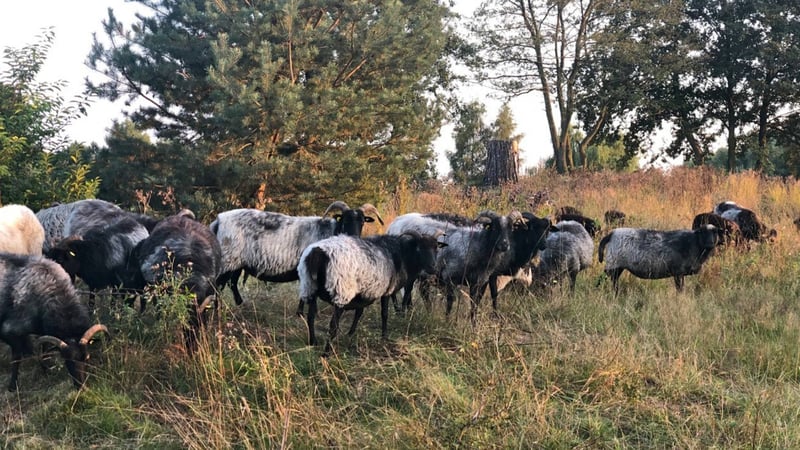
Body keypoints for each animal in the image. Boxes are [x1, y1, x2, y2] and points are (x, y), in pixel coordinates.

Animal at [0, 253, 109, 390]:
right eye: (67, 361)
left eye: (87, 358)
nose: (81, 387)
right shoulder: (9, 330)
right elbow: (16, 357)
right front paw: (12, 386)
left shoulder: (44, 329)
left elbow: (45, 349)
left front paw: (46, 369)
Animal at [209, 201, 384, 304]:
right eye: (344, 219)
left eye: (362, 221)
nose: (353, 237)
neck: (331, 232)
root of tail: (218, 221)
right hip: (228, 260)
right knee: (218, 286)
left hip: (237, 263)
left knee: (231, 284)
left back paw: (239, 304)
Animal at [296, 230, 444, 354]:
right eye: (419, 248)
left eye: (436, 248)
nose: (433, 268)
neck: (402, 255)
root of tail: (317, 253)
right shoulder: (387, 291)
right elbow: (384, 314)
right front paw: (384, 337)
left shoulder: (363, 294)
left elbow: (359, 313)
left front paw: (350, 333)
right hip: (341, 291)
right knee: (333, 325)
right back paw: (326, 353)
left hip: (309, 287)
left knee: (310, 317)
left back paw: (313, 342)